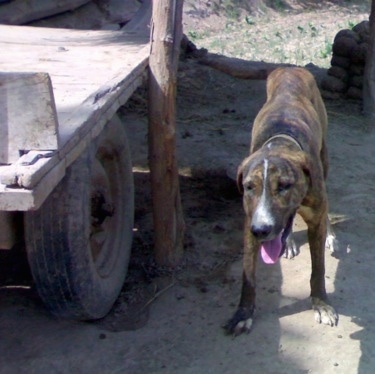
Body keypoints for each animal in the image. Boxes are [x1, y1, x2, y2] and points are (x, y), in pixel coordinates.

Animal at [225, 66, 340, 336]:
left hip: (325, 158)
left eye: (284, 186)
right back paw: (287, 243)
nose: (262, 230)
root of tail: (290, 67)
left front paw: (321, 304)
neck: (280, 142)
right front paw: (243, 314)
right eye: (249, 187)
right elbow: (248, 275)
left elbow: (318, 269)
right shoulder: (249, 223)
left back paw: (330, 235)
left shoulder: (315, 217)